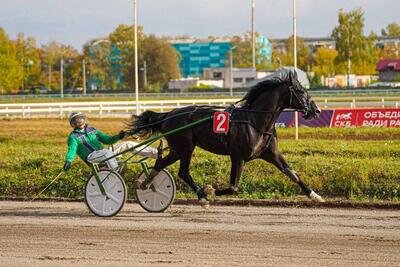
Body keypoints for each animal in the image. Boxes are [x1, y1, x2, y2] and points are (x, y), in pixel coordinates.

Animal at [128, 69, 324, 207]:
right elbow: (234, 187)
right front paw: (210, 190)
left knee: (161, 164)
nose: (316, 110)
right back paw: (202, 196)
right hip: (185, 147)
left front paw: (315, 196)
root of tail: (168, 114)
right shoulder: (238, 157)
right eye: (300, 91)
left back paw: (144, 184)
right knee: (183, 172)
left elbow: (292, 174)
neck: (256, 121)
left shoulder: (272, 154)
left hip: (177, 149)